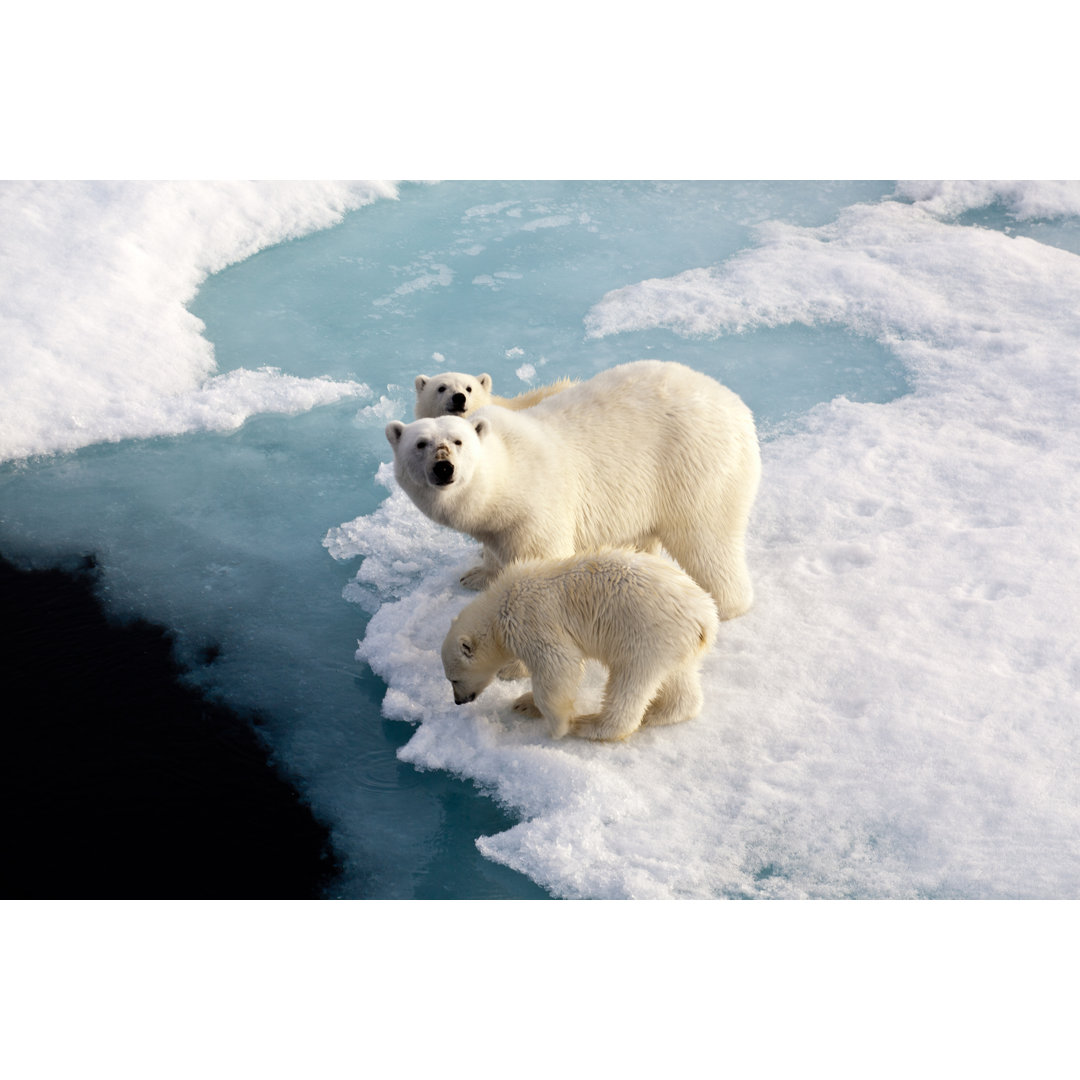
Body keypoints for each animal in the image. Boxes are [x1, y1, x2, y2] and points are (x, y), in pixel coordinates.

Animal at [438, 548, 717, 743]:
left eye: (453, 679)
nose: (458, 701)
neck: (500, 605)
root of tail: (705, 617)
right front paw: (524, 704)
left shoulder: (531, 620)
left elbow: (558, 667)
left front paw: (558, 725)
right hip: (674, 641)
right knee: (678, 677)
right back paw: (660, 712)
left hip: (645, 633)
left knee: (630, 680)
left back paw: (591, 725)